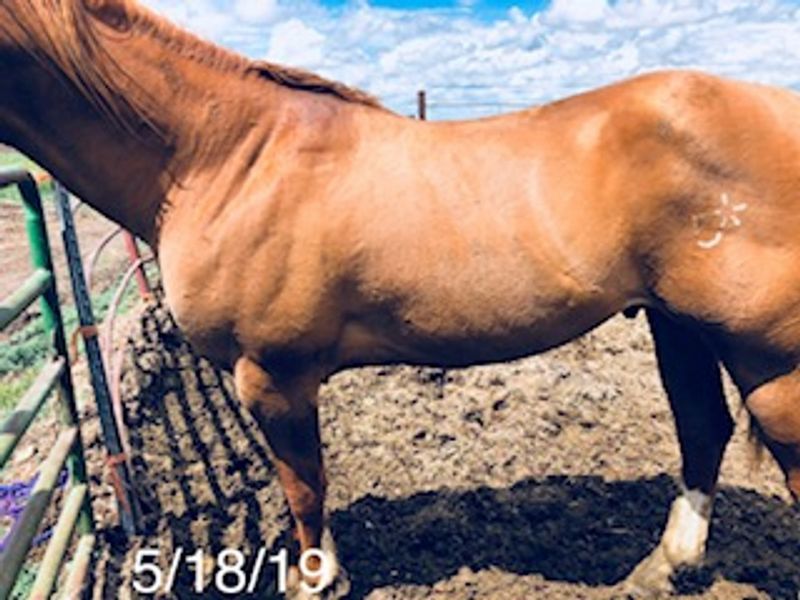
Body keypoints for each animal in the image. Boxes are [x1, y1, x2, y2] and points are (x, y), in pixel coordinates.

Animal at [1, 1, 799, 597]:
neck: (226, 158)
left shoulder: (272, 376)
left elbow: (304, 488)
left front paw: (316, 580)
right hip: (679, 324)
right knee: (703, 430)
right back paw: (665, 565)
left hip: (766, 360)